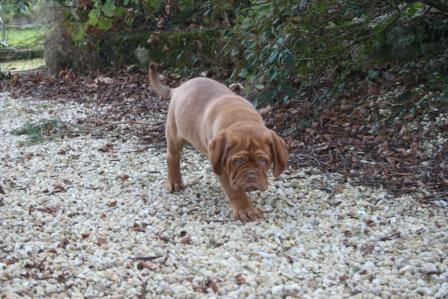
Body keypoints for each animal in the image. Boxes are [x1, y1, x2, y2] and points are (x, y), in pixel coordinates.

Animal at [149, 64, 286, 221]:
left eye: (263, 161)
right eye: (237, 161)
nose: (251, 176)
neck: (242, 119)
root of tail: (180, 87)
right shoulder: (225, 170)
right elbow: (235, 192)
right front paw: (245, 210)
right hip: (174, 134)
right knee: (172, 158)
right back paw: (174, 182)